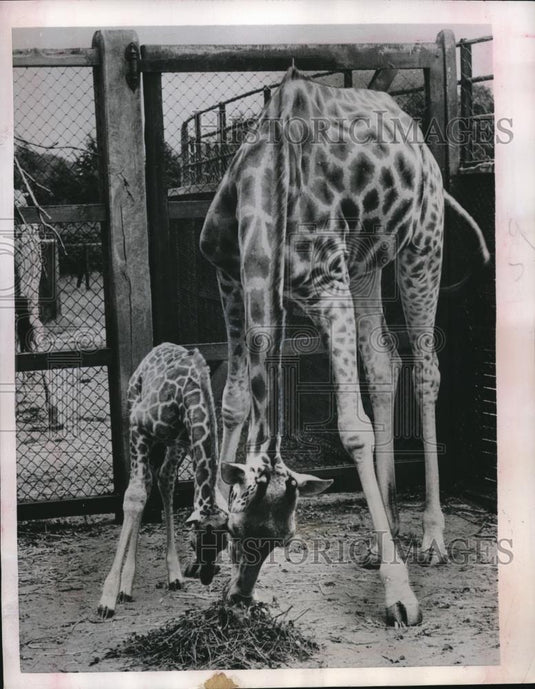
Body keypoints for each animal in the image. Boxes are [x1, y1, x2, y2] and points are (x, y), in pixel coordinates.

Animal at [97, 343, 228, 618]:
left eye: (222, 545)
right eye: (193, 542)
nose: (206, 578)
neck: (189, 397)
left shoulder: (184, 441)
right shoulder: (139, 426)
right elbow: (134, 496)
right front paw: (107, 599)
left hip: (168, 445)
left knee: (163, 480)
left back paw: (174, 575)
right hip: (135, 413)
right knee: (143, 486)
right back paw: (125, 586)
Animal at [200, 67, 490, 625]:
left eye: (284, 540)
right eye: (238, 532)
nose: (239, 600)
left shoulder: (327, 288)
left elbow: (353, 429)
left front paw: (399, 593)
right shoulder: (230, 275)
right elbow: (234, 401)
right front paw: (203, 527)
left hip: (422, 245)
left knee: (425, 370)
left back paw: (431, 538)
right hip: (366, 264)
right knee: (383, 361)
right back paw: (386, 534)